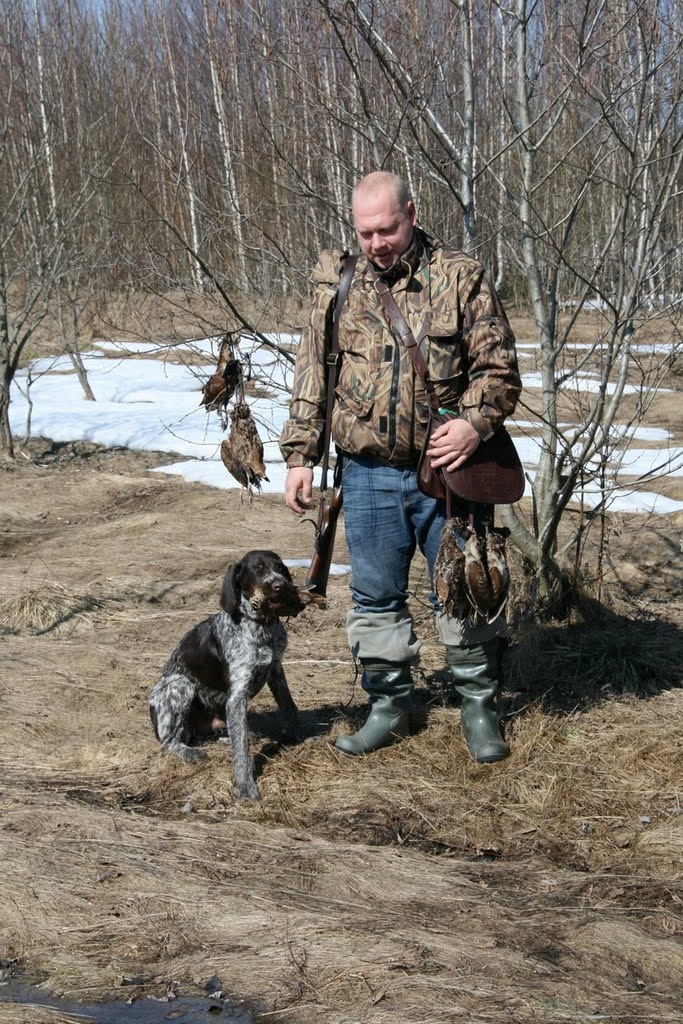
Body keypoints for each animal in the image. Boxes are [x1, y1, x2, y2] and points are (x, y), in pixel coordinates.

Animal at [149, 550, 312, 801]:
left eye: (280, 568)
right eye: (257, 570)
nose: (280, 585)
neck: (260, 627)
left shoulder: (275, 669)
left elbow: (289, 707)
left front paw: (296, 735)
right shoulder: (237, 698)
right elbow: (242, 751)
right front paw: (245, 785)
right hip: (180, 684)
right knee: (169, 740)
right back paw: (189, 753)